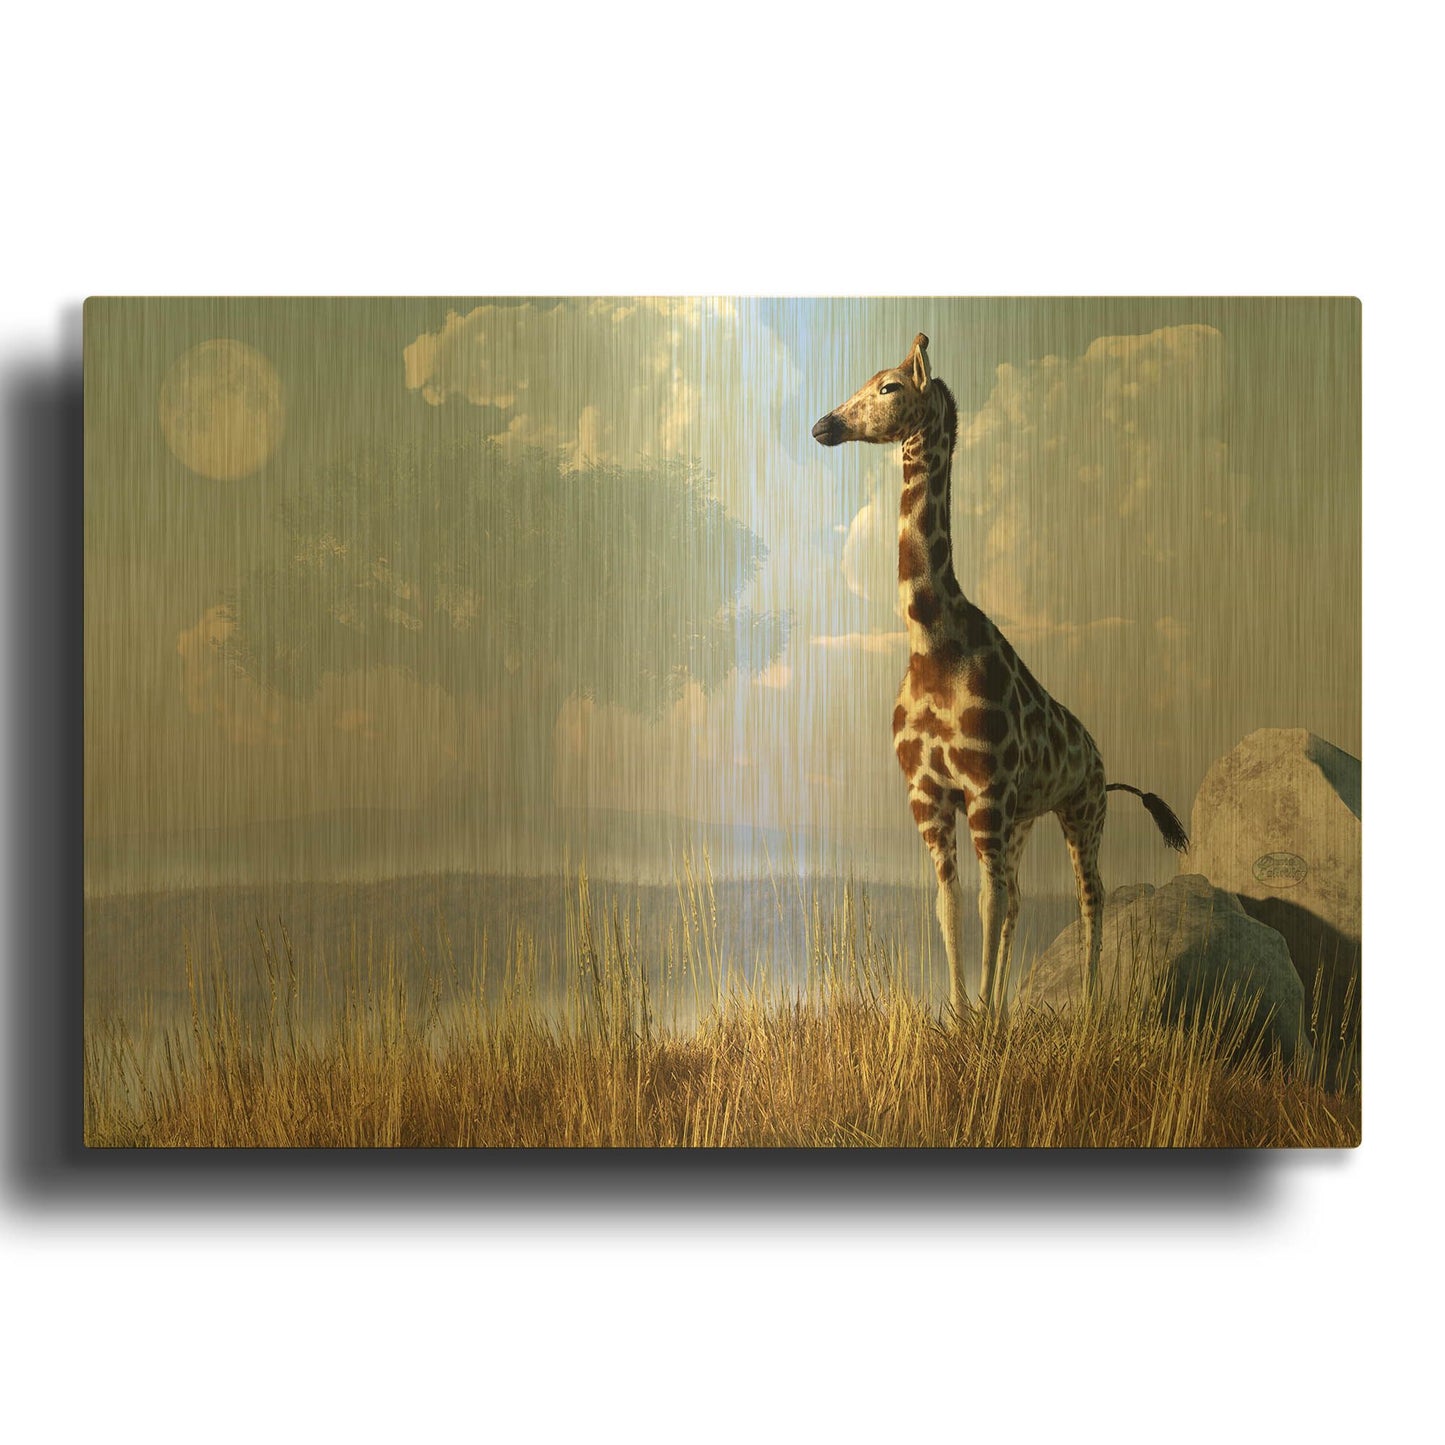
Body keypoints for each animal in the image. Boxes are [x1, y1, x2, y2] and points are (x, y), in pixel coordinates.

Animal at [812, 333, 1188, 1019]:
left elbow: (985, 902)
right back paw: (1004, 1007)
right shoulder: (929, 795)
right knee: (1016, 900)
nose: (824, 425)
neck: (931, 643)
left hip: (1081, 809)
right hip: (1026, 818)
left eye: (889, 387)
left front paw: (983, 1022)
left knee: (1090, 897)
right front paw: (966, 1016)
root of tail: (1101, 759)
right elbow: (953, 903)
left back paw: (1087, 1008)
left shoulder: (985, 790)